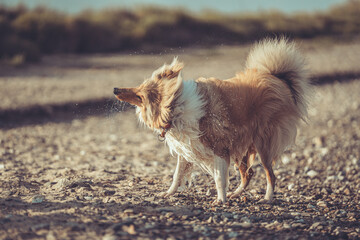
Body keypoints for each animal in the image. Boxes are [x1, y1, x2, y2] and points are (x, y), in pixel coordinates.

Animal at [114, 38, 310, 203]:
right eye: (139, 86)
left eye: (139, 94)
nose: (115, 89)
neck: (177, 106)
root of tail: (275, 76)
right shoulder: (188, 148)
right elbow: (177, 175)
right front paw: (168, 193)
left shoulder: (220, 148)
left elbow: (219, 178)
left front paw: (220, 200)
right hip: (242, 146)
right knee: (249, 174)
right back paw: (236, 194)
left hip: (263, 144)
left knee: (270, 175)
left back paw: (267, 198)